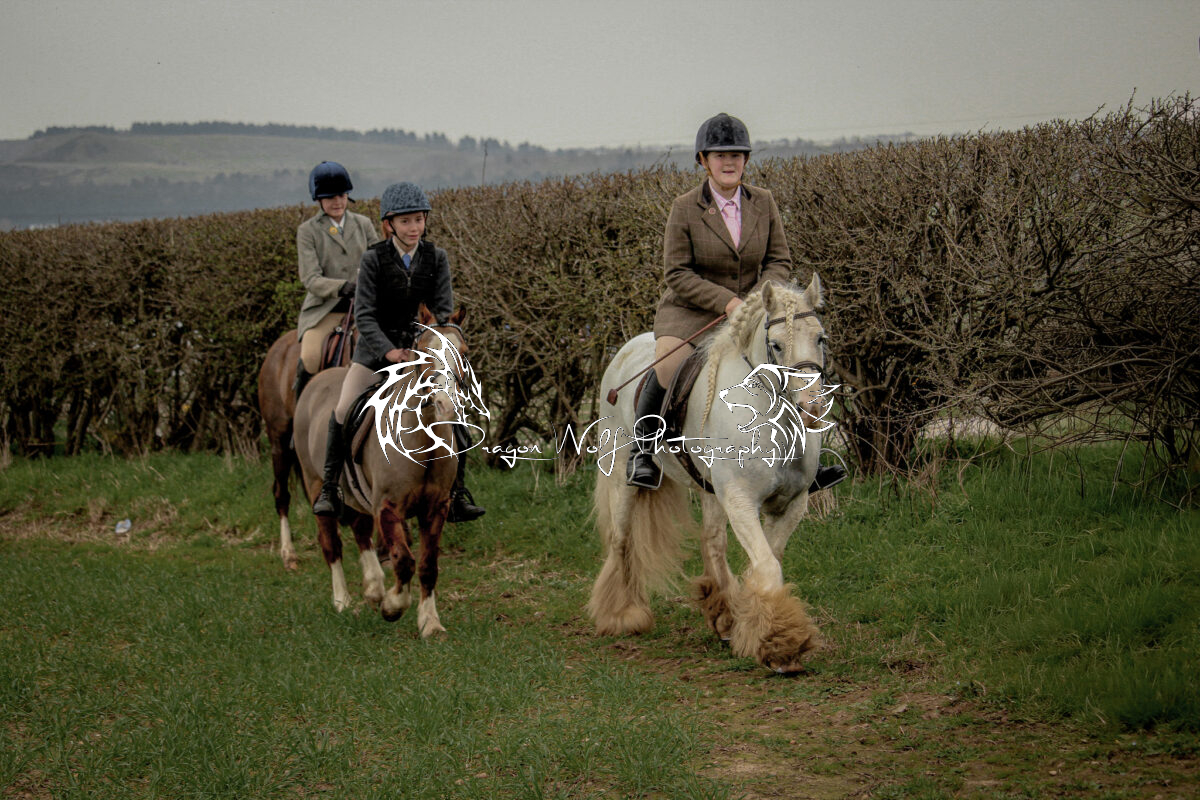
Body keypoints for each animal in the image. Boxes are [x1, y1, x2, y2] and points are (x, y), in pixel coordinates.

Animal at [293, 305, 483, 636]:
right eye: (423, 352)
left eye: (464, 352)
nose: (446, 404)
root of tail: (318, 380)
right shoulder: (388, 507)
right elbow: (404, 560)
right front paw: (393, 607)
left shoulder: (436, 508)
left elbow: (428, 565)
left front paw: (430, 623)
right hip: (316, 483)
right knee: (332, 544)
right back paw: (343, 601)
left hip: (357, 496)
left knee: (360, 530)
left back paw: (373, 589)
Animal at [588, 276, 834, 673]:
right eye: (776, 344)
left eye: (820, 338)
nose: (812, 410)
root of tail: (626, 350)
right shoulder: (740, 500)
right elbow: (767, 567)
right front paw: (781, 645)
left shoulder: (791, 504)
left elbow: (768, 561)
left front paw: (758, 628)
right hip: (624, 476)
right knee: (621, 542)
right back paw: (623, 615)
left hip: (709, 489)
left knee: (712, 543)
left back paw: (724, 617)